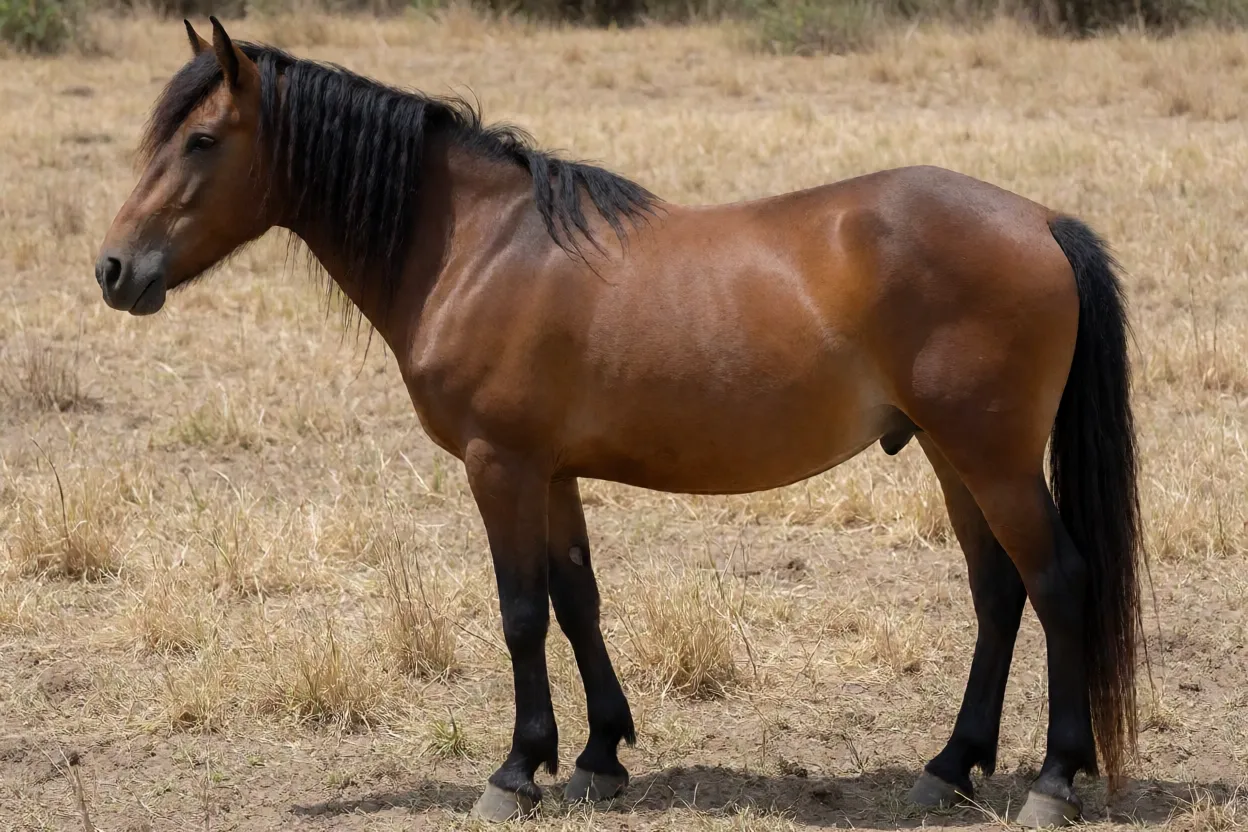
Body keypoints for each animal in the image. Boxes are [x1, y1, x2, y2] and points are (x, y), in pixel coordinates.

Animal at [95, 18, 1145, 828]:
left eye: (200, 141)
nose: (114, 270)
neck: (479, 248)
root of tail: (1041, 220)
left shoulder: (500, 466)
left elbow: (521, 613)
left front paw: (515, 771)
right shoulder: (553, 472)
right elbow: (577, 601)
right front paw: (599, 756)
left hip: (993, 459)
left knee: (1058, 582)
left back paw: (1053, 781)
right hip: (950, 456)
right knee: (997, 594)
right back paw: (950, 767)